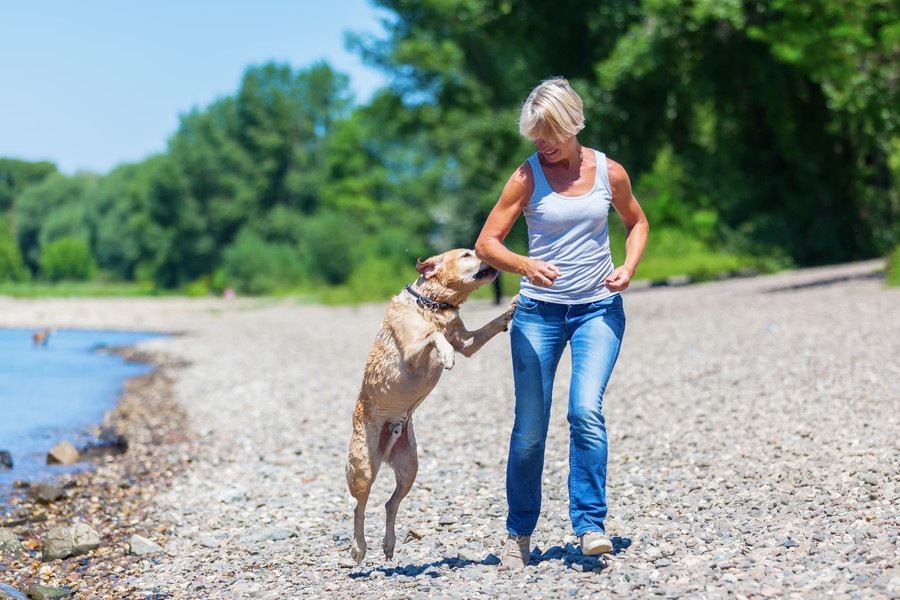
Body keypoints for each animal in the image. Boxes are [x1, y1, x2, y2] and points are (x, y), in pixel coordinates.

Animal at [346, 248, 516, 564]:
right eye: (467, 254)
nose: (489, 254)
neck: (433, 305)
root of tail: (387, 443)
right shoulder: (412, 351)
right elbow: (433, 337)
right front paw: (445, 355)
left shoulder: (466, 342)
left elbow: (486, 327)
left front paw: (511, 309)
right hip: (363, 468)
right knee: (358, 507)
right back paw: (358, 548)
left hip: (409, 467)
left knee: (390, 504)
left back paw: (389, 544)